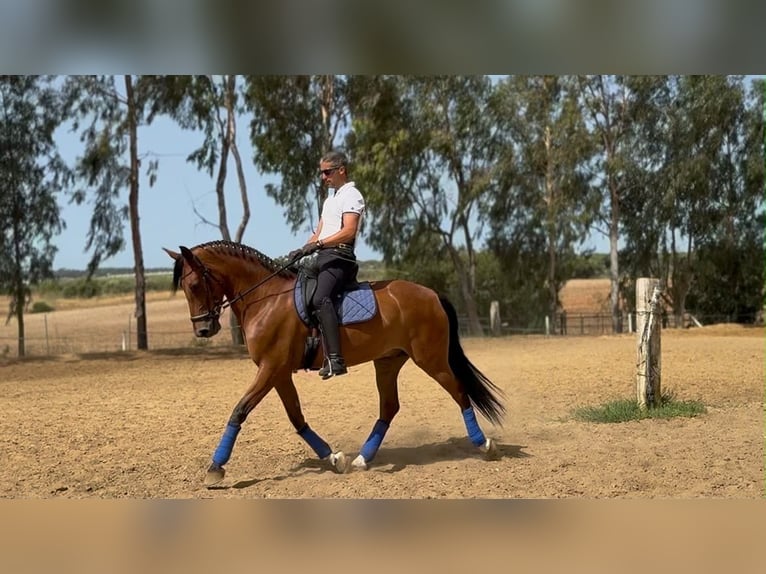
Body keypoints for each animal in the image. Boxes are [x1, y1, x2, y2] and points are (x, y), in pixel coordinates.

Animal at [165, 240, 505, 487]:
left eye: (194, 286)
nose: (203, 330)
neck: (265, 298)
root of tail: (432, 294)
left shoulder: (271, 368)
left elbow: (239, 410)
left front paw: (215, 467)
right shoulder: (278, 373)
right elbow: (297, 418)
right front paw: (334, 458)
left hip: (431, 359)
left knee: (459, 392)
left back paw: (484, 446)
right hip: (388, 362)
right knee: (389, 407)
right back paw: (363, 459)